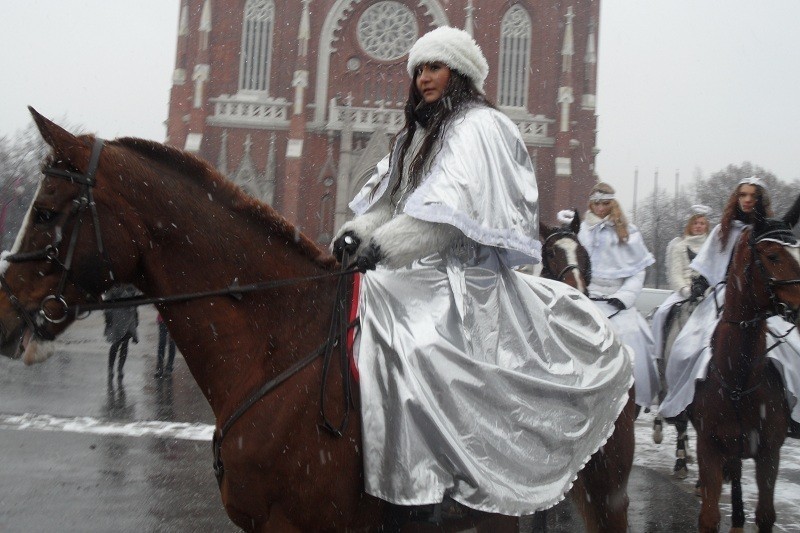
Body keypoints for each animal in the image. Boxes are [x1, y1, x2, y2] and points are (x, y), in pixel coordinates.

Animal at [688, 218, 800, 528]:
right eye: (773, 256)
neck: (738, 378)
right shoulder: (709, 447)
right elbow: (709, 517)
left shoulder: (769, 452)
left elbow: (765, 515)